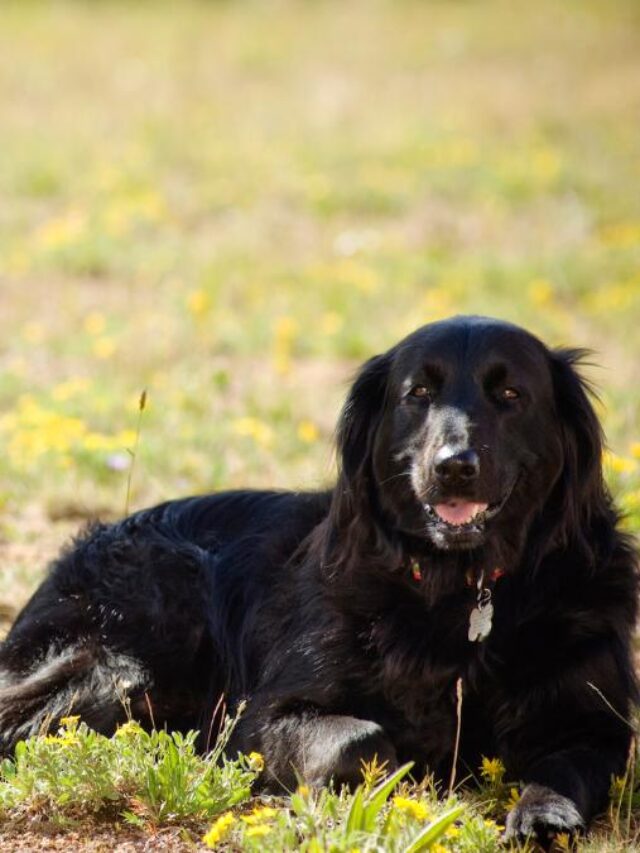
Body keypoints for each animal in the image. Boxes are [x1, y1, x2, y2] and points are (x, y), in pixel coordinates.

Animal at [0, 314, 636, 840]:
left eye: (510, 395)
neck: (460, 590)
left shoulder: (594, 722)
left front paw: (543, 813)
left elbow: (568, 764)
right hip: (137, 650)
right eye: (418, 394)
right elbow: (362, 736)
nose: (454, 467)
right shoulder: (262, 718)